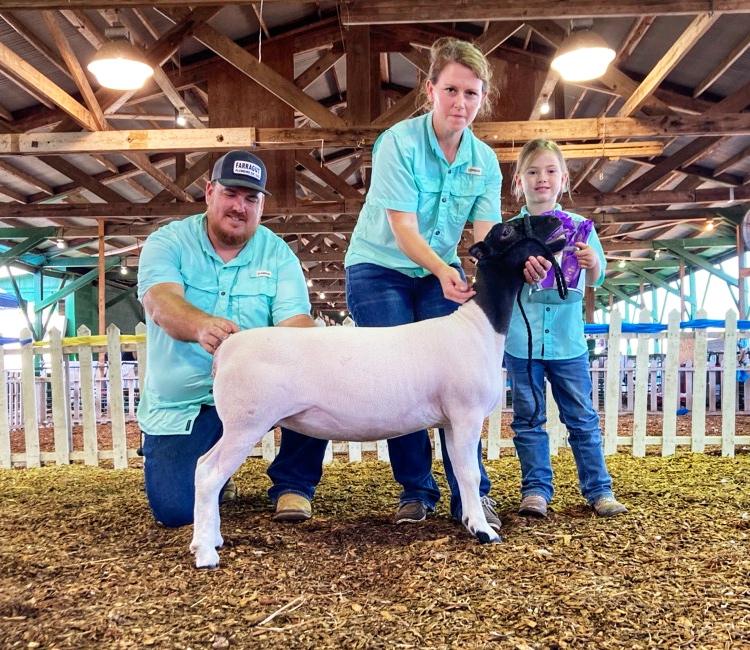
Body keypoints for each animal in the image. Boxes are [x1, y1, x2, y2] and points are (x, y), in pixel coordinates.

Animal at [191, 214, 568, 568]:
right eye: (506, 232)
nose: (556, 218)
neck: (478, 327)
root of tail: (227, 346)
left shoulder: (449, 420)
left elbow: (461, 472)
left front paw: (470, 520)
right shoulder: (467, 413)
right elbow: (470, 473)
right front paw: (483, 530)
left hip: (241, 424)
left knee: (202, 466)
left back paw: (207, 541)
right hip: (246, 422)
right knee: (208, 473)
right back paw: (206, 553)